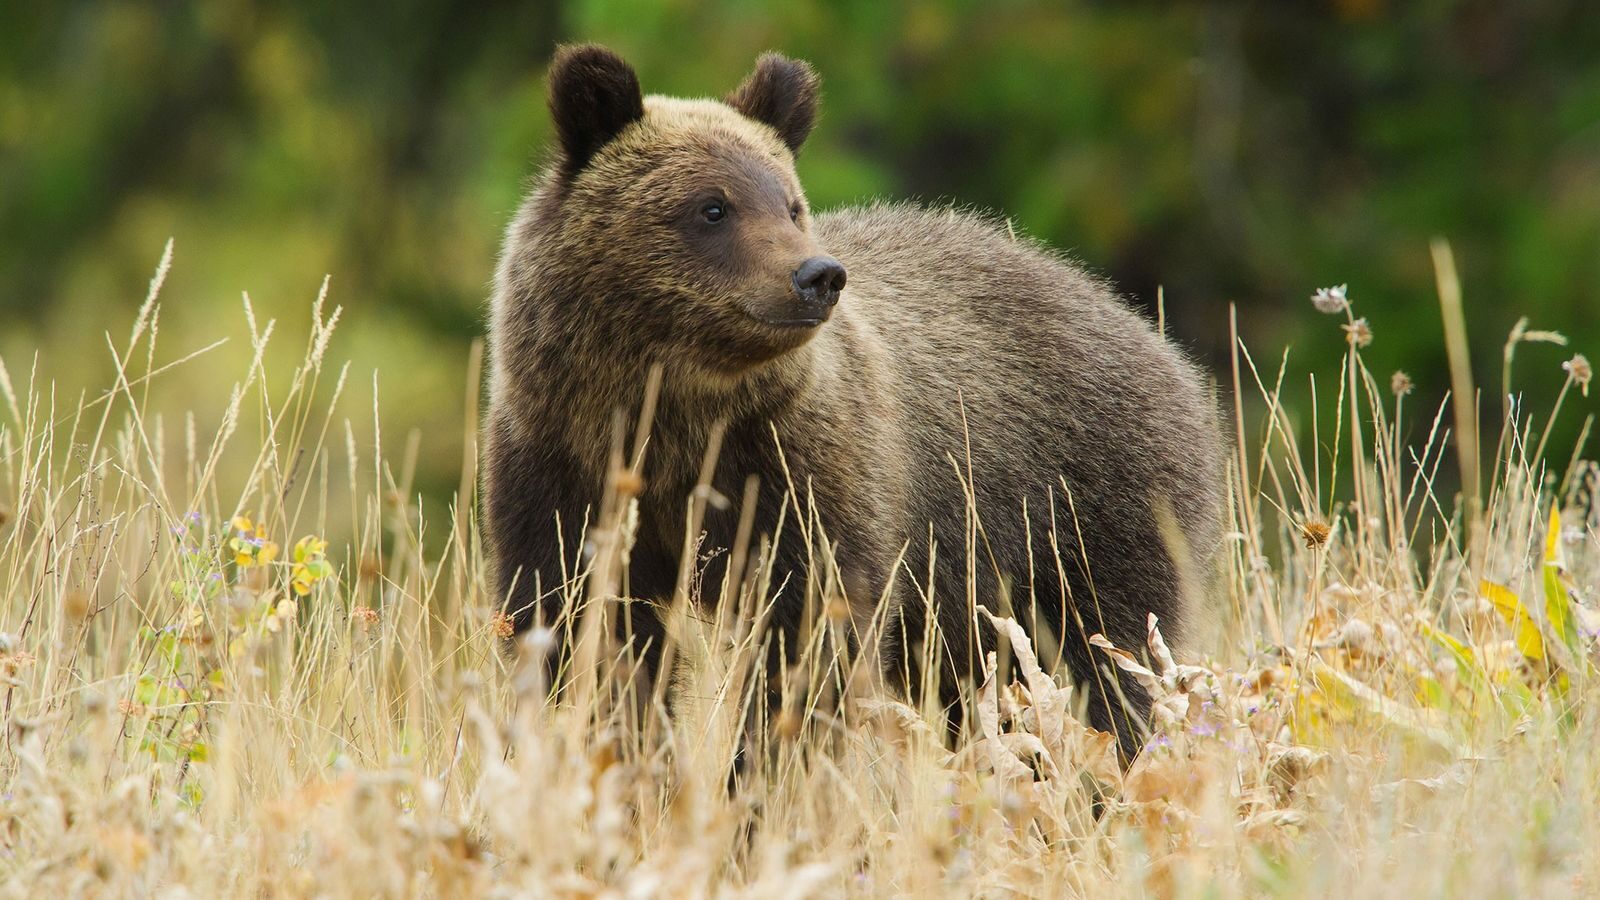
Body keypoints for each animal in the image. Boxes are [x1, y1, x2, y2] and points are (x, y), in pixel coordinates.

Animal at [483, 44, 1224, 761]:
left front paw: (764, 772)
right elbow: (583, 625)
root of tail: (1154, 342)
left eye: (790, 203)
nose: (817, 275)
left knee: (1096, 663)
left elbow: (810, 633)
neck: (677, 413)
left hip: (1083, 511)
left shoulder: (801, 472)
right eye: (712, 206)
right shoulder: (564, 466)